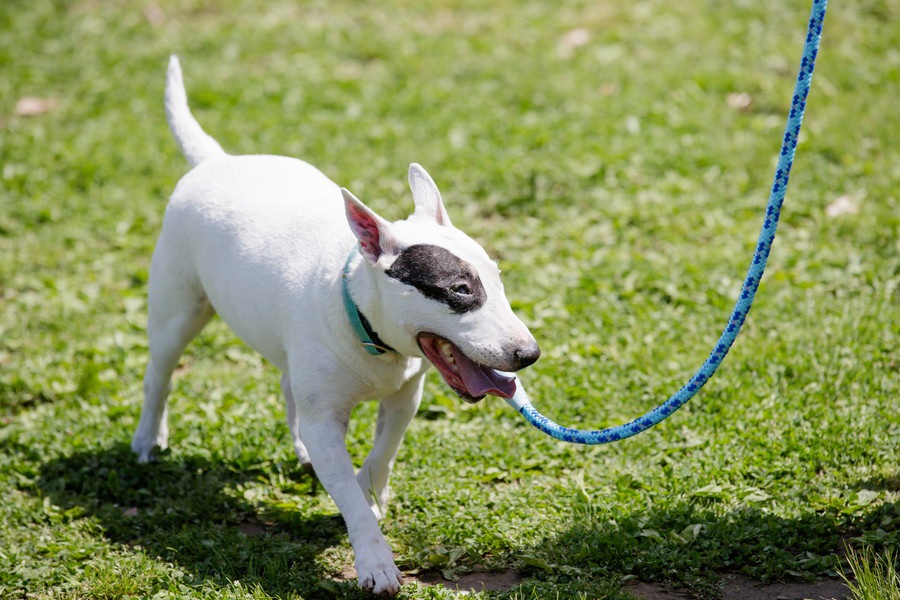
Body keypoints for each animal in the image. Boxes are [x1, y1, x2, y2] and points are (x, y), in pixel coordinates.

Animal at [132, 57, 540, 596]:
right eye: (459, 290)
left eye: (496, 276)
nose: (528, 354)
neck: (367, 328)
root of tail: (214, 162)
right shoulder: (326, 419)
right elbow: (344, 486)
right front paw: (375, 561)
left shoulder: (404, 395)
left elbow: (382, 453)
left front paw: (369, 487)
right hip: (177, 308)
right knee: (159, 373)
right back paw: (147, 439)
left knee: (288, 387)